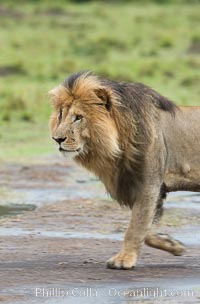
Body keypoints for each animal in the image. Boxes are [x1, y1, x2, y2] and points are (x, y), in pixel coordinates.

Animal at [48, 72, 200, 270]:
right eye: (61, 115)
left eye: (78, 117)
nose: (57, 139)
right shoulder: (150, 189)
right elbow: (146, 228)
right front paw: (173, 244)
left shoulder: (148, 185)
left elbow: (135, 226)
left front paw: (124, 260)